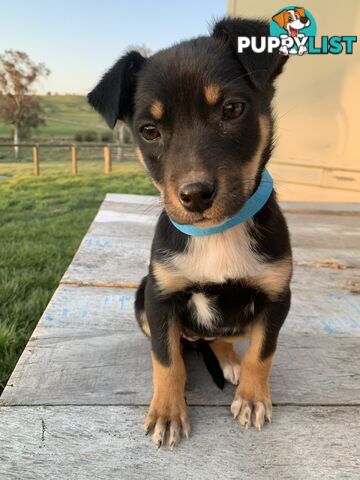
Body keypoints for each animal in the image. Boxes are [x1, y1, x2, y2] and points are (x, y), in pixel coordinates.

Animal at [88, 15, 292, 450]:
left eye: (232, 109)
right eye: (148, 130)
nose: (195, 195)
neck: (217, 232)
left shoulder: (276, 297)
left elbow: (262, 353)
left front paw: (253, 398)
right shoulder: (160, 297)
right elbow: (166, 359)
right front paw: (168, 412)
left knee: (220, 338)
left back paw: (229, 360)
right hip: (140, 296)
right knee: (180, 345)